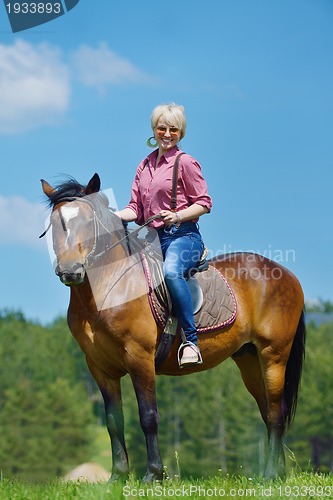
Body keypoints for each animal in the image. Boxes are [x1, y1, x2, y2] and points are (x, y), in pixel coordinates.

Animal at [40, 173, 304, 480]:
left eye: (87, 221)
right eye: (54, 225)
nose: (70, 271)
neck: (107, 290)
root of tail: (287, 274)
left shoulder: (139, 357)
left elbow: (148, 417)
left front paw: (153, 474)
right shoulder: (98, 367)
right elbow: (113, 421)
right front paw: (118, 476)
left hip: (274, 355)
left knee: (275, 413)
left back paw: (272, 473)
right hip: (249, 359)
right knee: (269, 410)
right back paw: (277, 473)